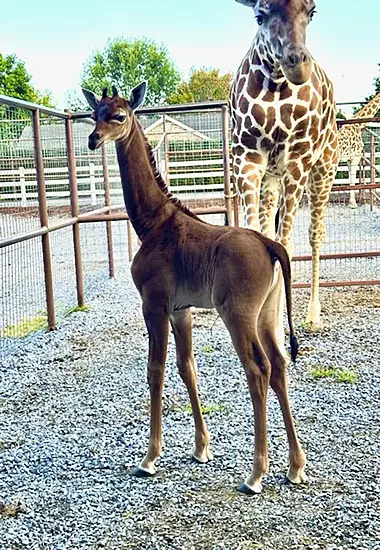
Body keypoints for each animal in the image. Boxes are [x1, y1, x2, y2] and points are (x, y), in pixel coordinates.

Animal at [81, 84, 308, 498]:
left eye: (119, 115)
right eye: (95, 114)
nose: (93, 139)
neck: (152, 223)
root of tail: (270, 245)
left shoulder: (153, 305)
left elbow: (155, 370)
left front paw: (149, 458)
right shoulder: (180, 309)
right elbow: (187, 368)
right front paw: (201, 449)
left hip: (238, 315)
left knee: (259, 369)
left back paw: (255, 475)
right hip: (268, 314)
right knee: (280, 364)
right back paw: (295, 467)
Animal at [230, 0, 340, 330]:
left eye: (312, 11)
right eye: (259, 15)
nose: (297, 64)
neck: (276, 84)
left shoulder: (298, 160)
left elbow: (286, 245)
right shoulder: (247, 157)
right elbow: (257, 237)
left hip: (323, 171)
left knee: (315, 234)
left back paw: (313, 316)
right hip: (272, 177)